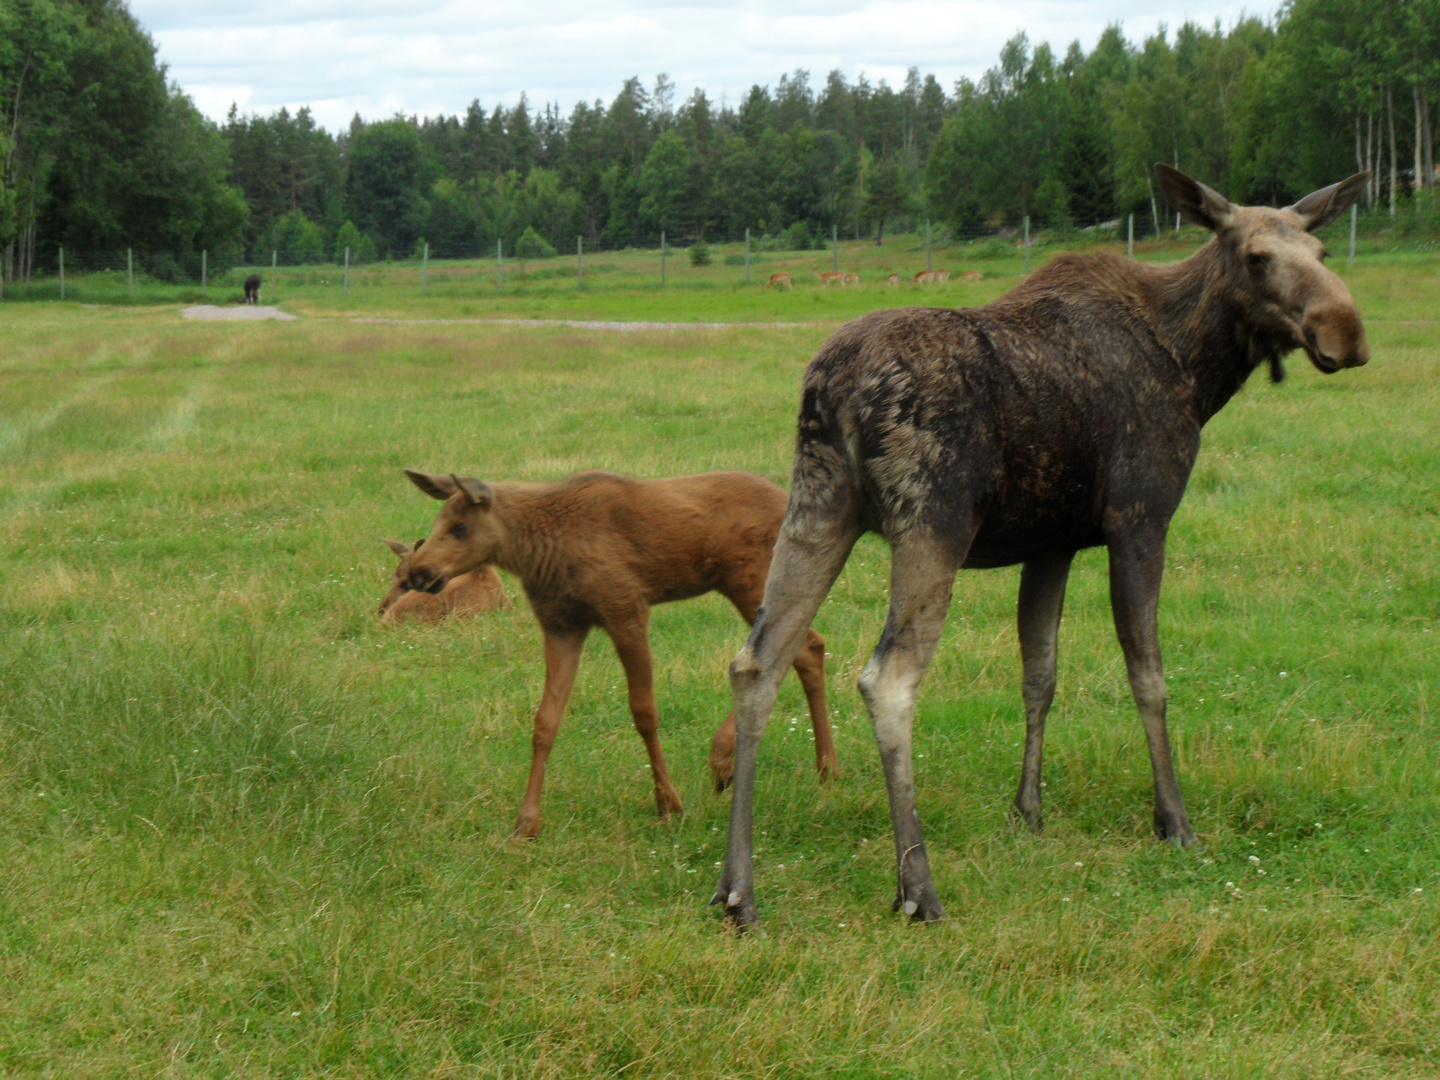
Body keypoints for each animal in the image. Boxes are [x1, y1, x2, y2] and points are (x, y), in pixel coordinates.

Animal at [400, 469, 840, 840]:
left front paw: (668, 804)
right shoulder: (561, 625)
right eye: (438, 521)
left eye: (460, 527)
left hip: (749, 580)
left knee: (788, 653)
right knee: (806, 649)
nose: (416, 573)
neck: (539, 553)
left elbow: (644, 711)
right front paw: (527, 822)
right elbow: (545, 722)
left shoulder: (626, 607)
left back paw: (728, 760)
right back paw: (823, 769)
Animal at [717, 162, 1370, 933]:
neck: (1197, 368)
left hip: (819, 506)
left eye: (1322, 251)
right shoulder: (1139, 519)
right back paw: (917, 887)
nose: (1346, 331)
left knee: (757, 662)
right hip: (932, 523)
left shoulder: (1052, 543)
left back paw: (738, 890)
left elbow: (1040, 675)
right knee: (887, 680)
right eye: (1257, 257)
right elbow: (1148, 677)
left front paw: (1027, 810)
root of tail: (834, 388)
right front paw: (1173, 820)